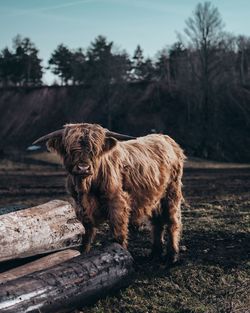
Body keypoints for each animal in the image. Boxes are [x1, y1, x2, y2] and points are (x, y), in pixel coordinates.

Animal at [33, 123, 186, 262]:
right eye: (71, 149)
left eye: (94, 150)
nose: (83, 168)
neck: (87, 187)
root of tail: (165, 138)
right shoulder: (80, 206)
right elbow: (85, 233)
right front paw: (83, 254)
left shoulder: (117, 202)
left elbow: (118, 233)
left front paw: (121, 255)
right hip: (154, 197)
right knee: (157, 223)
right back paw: (155, 253)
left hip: (172, 193)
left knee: (173, 222)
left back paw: (172, 255)